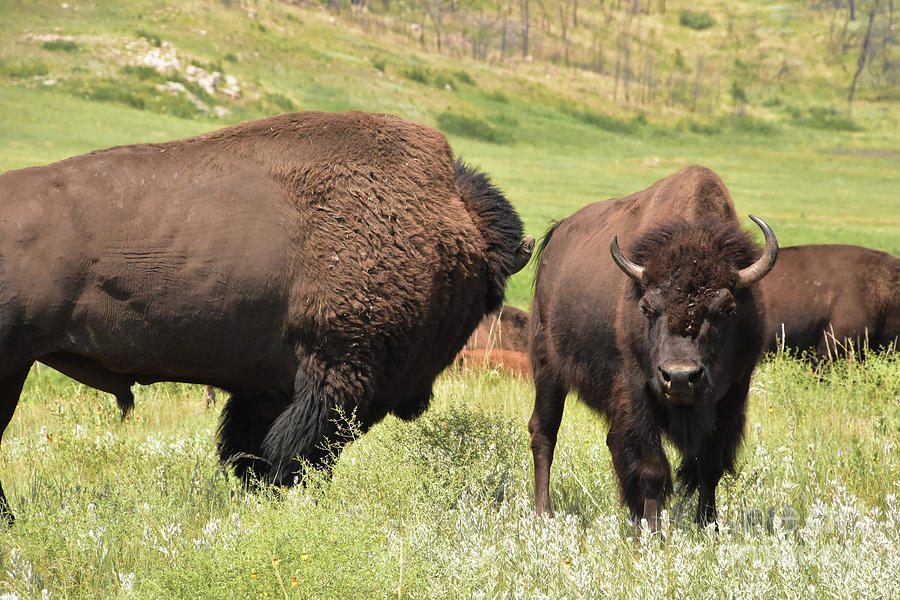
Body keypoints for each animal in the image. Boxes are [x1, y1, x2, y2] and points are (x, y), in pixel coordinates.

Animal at [0, 110, 536, 524]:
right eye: (483, 298)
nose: (418, 398)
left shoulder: (270, 387)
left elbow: (253, 450)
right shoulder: (336, 377)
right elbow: (296, 455)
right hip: (12, 364)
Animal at [532, 166, 776, 528]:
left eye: (727, 308)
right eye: (647, 307)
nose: (680, 377)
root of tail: (557, 235)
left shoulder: (733, 394)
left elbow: (710, 466)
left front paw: (708, 525)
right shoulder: (637, 391)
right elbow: (651, 468)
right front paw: (651, 531)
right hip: (547, 368)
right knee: (544, 432)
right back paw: (543, 513)